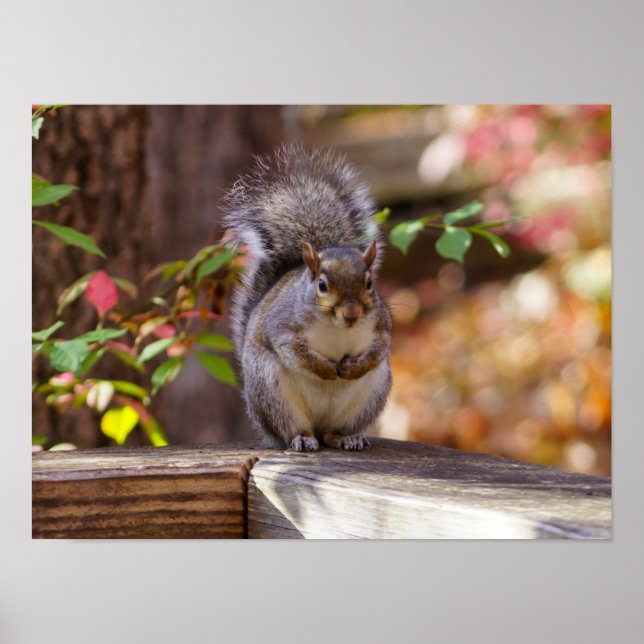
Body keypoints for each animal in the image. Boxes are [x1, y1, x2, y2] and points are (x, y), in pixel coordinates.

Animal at [223, 144, 392, 452]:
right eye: (322, 285)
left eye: (370, 282)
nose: (351, 314)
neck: (337, 328)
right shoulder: (282, 325)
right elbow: (293, 350)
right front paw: (326, 370)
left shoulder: (382, 325)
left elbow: (380, 348)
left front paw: (353, 367)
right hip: (272, 393)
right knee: (294, 429)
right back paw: (302, 438)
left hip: (369, 396)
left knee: (331, 433)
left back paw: (346, 438)